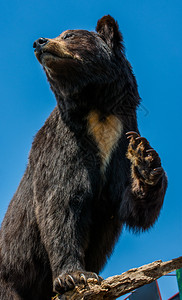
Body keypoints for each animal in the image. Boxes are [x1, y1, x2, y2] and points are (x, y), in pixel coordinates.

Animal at [0, 15, 168, 300]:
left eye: (69, 35)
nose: (39, 42)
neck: (97, 111)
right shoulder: (63, 144)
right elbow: (61, 203)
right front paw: (73, 276)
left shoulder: (118, 143)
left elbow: (130, 205)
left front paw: (145, 161)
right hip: (9, 277)